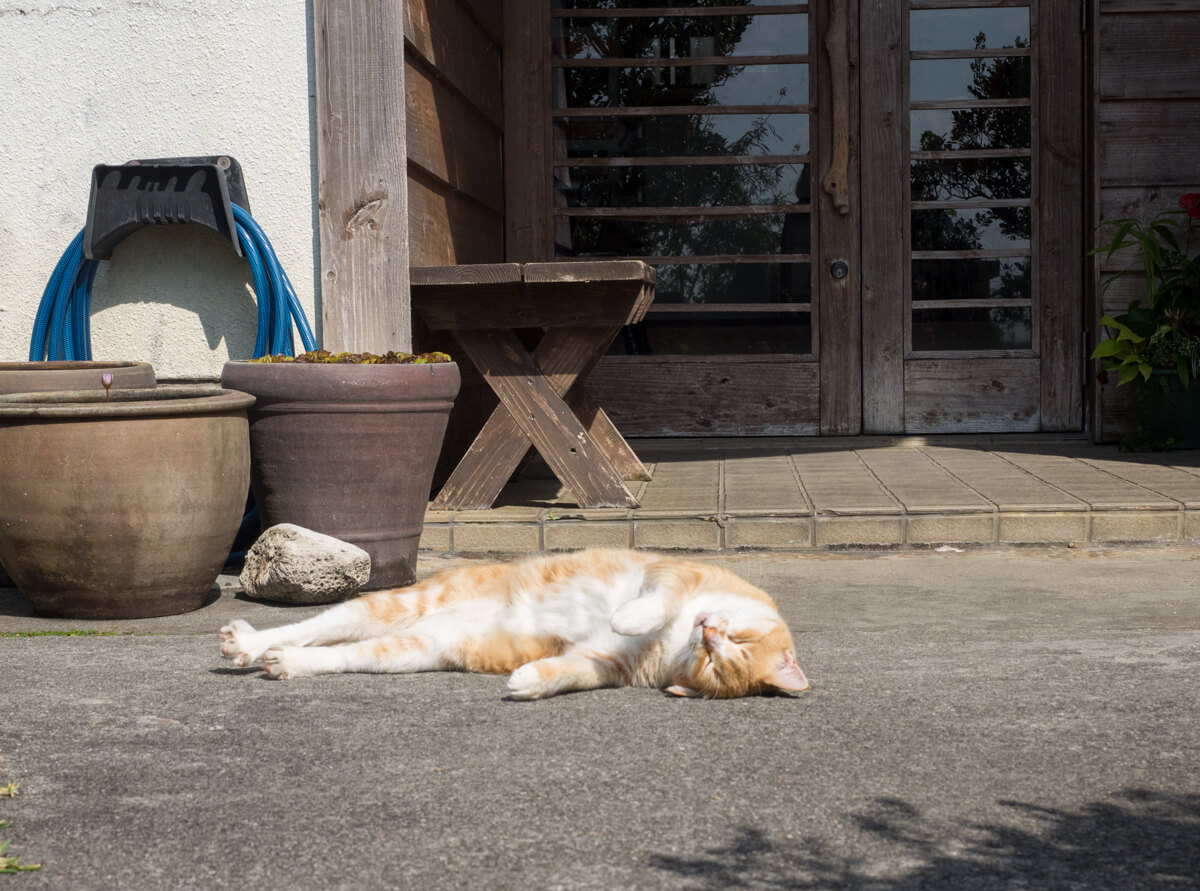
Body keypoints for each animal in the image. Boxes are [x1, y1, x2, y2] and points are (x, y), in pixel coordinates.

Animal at [220, 547, 811, 701]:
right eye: (737, 638)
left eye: (716, 664)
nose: (708, 631)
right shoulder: (672, 571)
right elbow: (656, 602)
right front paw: (630, 614)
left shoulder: (607, 664)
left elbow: (570, 672)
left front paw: (530, 681)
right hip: (386, 606)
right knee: (307, 625)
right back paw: (248, 642)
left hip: (412, 648)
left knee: (335, 652)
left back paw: (284, 664)